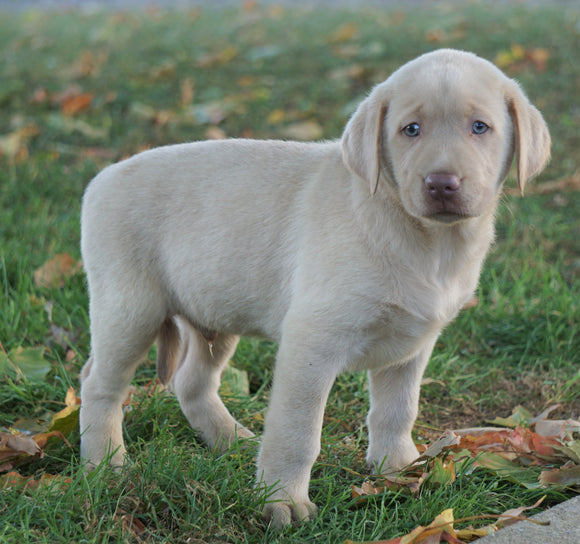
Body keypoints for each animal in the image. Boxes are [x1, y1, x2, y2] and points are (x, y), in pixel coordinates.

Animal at [79, 50, 552, 528]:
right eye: (411, 130)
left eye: (480, 127)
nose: (441, 184)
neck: (430, 242)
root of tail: (101, 178)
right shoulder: (311, 343)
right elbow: (297, 433)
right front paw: (281, 500)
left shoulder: (413, 343)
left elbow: (398, 409)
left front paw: (398, 468)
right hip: (130, 309)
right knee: (99, 385)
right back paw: (106, 466)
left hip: (213, 313)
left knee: (191, 383)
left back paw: (231, 440)